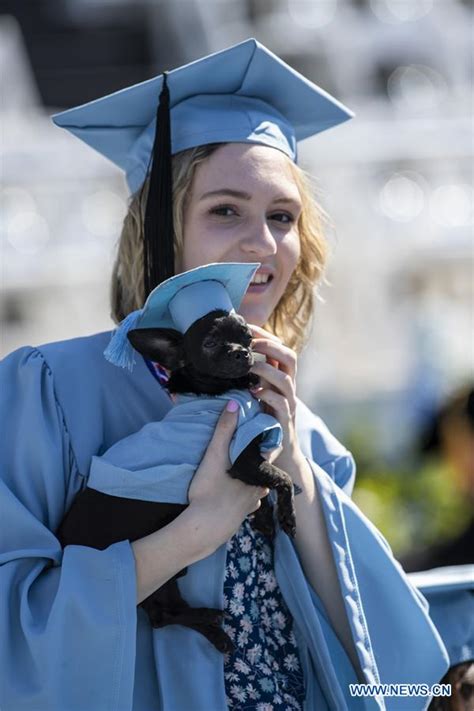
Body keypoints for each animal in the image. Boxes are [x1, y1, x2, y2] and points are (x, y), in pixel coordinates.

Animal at [57, 308, 294, 652]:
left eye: (248, 337)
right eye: (210, 343)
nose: (241, 352)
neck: (218, 391)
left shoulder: (249, 465)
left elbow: (266, 490)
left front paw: (264, 519)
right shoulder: (243, 461)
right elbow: (282, 479)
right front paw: (287, 516)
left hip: (167, 577)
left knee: (164, 615)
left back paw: (211, 625)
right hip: (155, 572)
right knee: (161, 616)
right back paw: (212, 624)